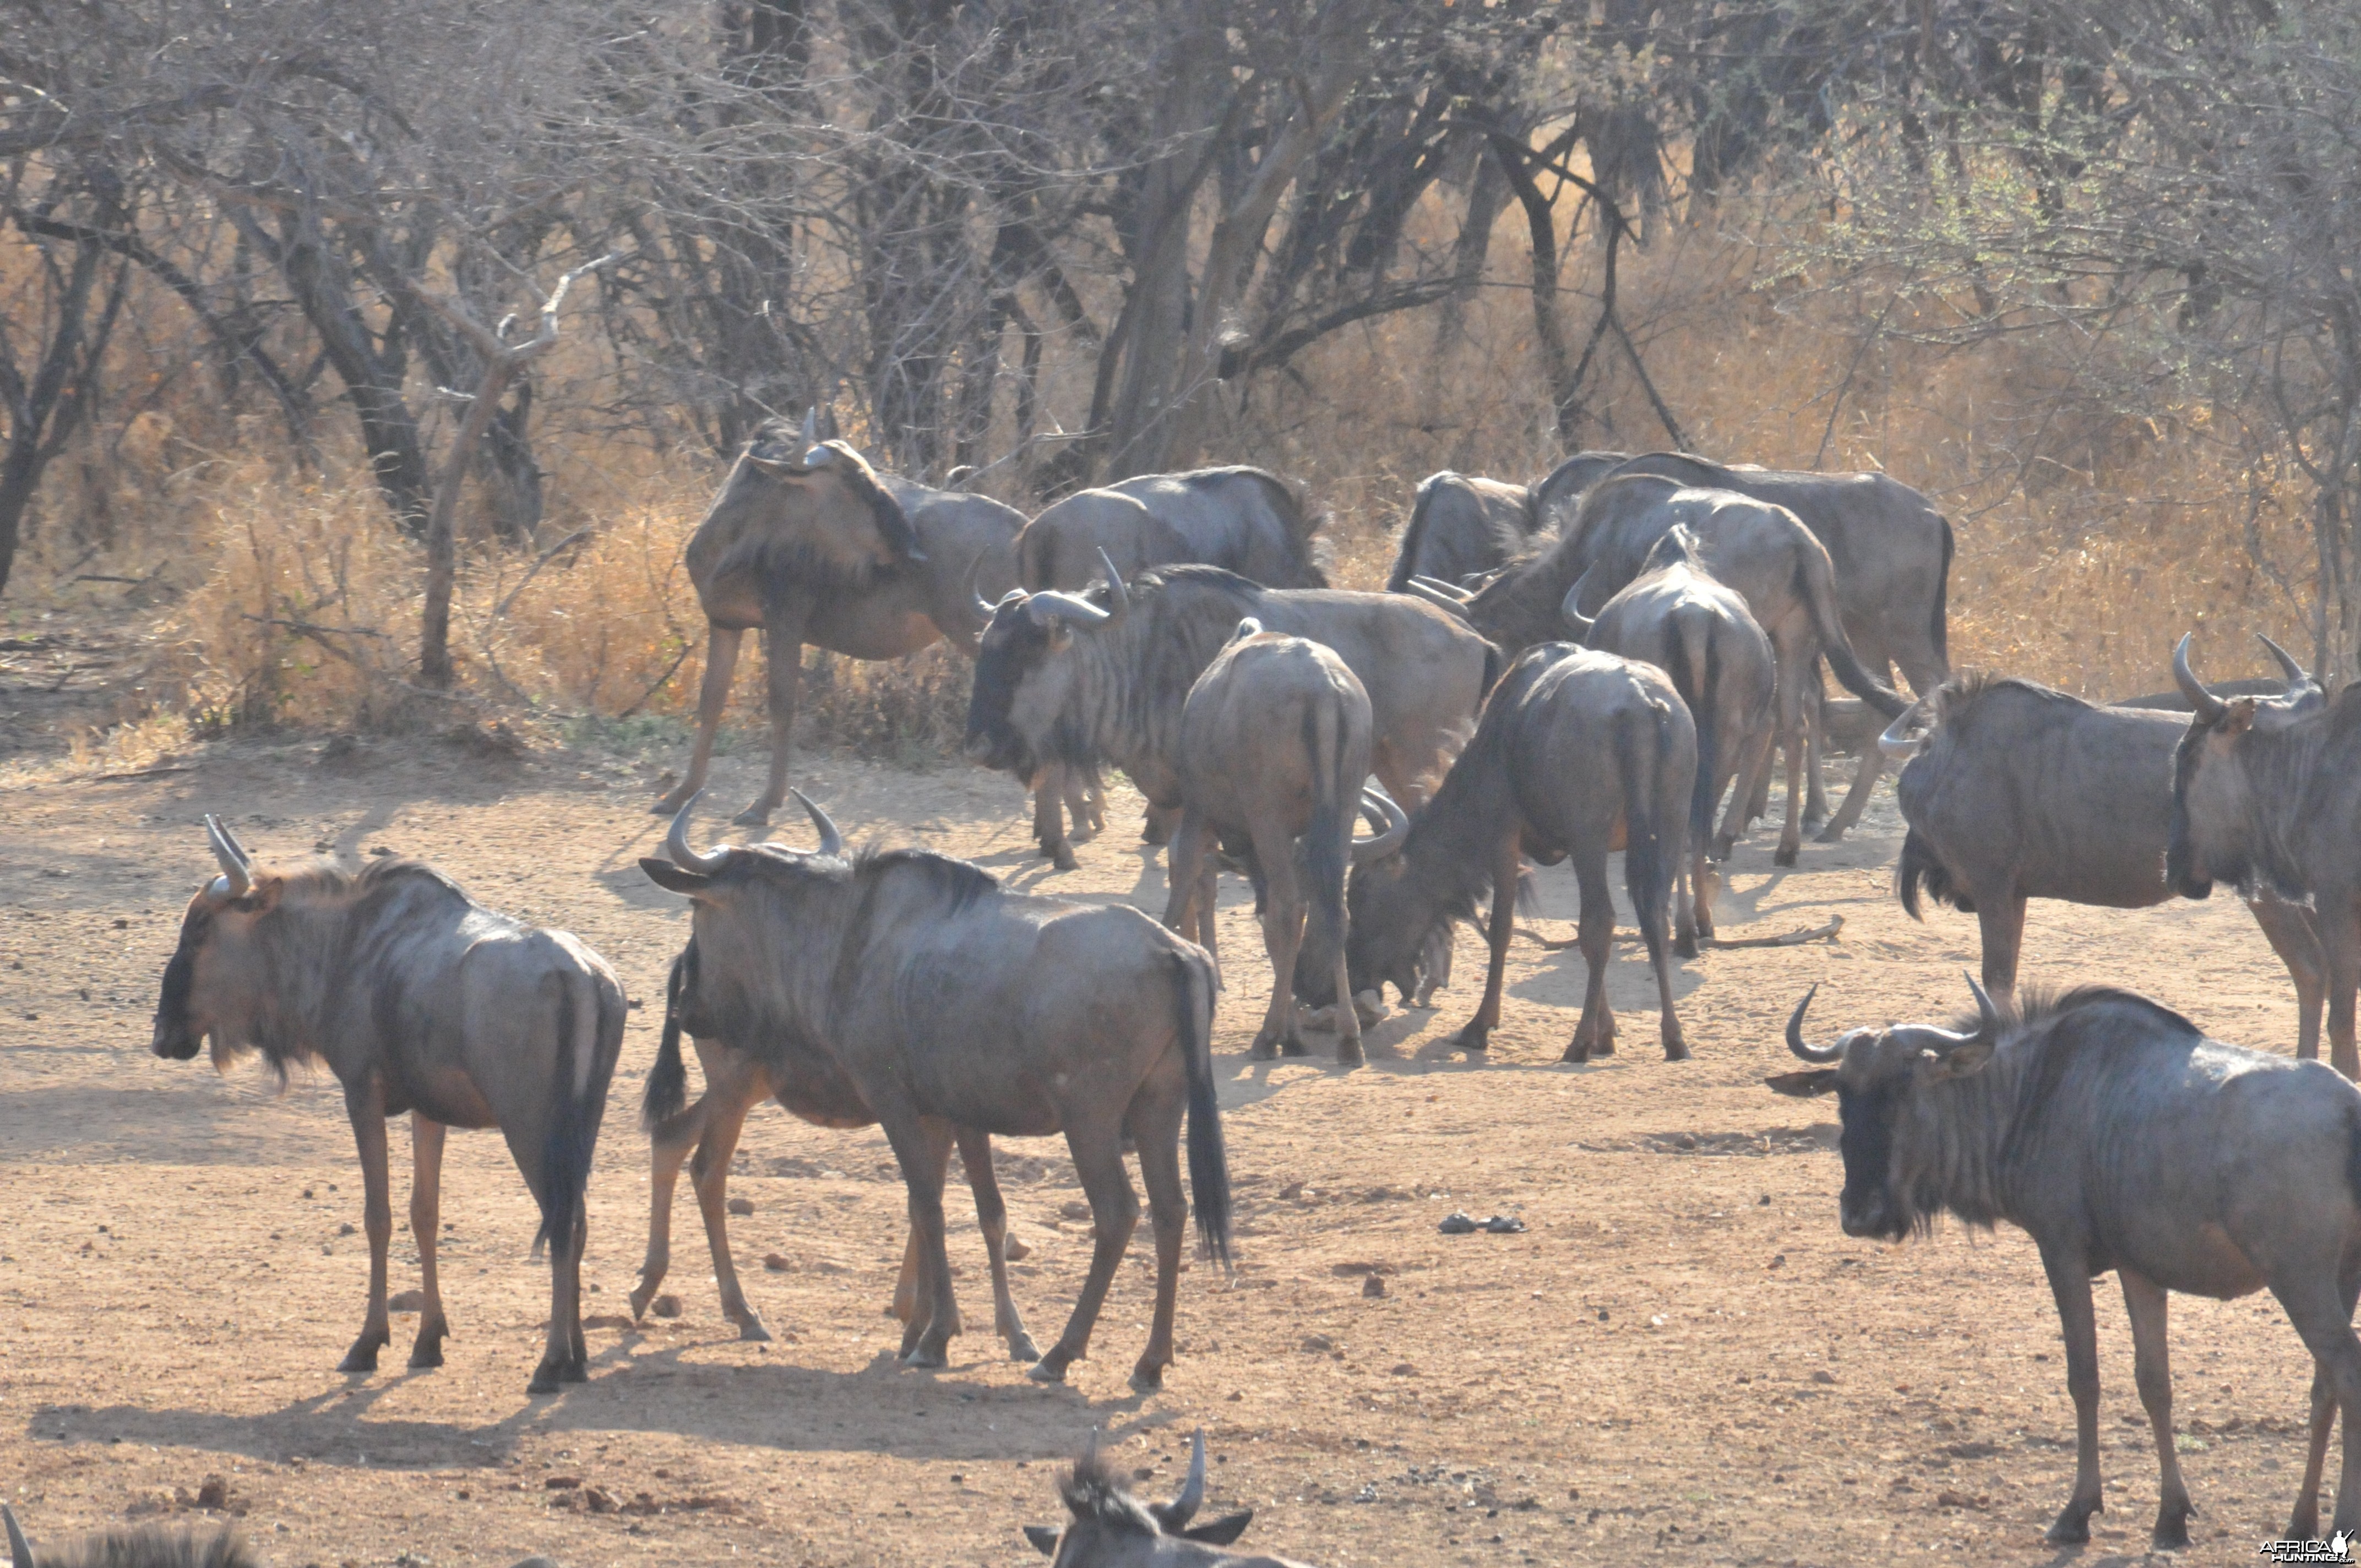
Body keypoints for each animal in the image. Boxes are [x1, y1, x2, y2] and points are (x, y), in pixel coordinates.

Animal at [151, 812, 623, 1389]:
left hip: (530, 1130)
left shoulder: (361, 1093)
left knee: (559, 1224)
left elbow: (378, 1215)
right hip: (579, 1134)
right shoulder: (429, 1111)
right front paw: (427, 1340)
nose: (163, 1035)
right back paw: (576, 1358)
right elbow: (425, 1212)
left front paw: (368, 1342)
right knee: (577, 1222)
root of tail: (581, 977)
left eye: (199, 929)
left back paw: (552, 1361)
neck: (345, 947)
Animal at [1775, 982, 2361, 1539]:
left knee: (2346, 1372)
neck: (2036, 1090)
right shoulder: (2139, 1269)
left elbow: (2085, 1378)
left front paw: (2078, 1511)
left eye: (1903, 1087)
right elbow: (2155, 1384)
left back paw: (2342, 1521)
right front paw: (2171, 1516)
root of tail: (2349, 1111)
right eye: (1842, 1093)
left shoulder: (2061, 1253)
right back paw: (2301, 1521)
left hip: (2300, 1281)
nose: (1860, 1214)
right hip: (2340, 1280)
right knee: (2324, 1387)